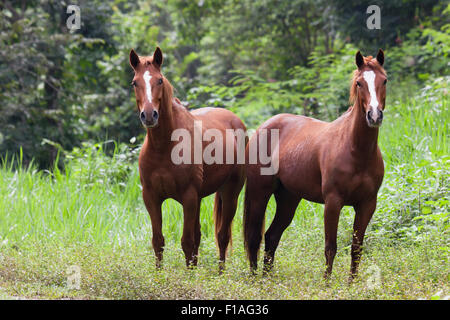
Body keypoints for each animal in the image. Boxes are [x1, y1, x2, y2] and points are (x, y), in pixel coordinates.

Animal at [130, 47, 246, 268]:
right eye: (134, 82)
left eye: (159, 80)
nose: (149, 115)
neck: (163, 147)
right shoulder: (151, 197)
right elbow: (158, 242)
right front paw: (159, 275)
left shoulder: (188, 196)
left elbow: (187, 242)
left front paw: (189, 276)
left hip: (230, 192)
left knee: (222, 236)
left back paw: (221, 273)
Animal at [243, 49, 386, 280]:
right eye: (359, 83)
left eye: (384, 80)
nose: (374, 115)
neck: (356, 150)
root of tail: (263, 127)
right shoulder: (333, 202)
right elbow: (330, 247)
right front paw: (327, 283)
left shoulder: (367, 204)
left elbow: (356, 248)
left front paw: (352, 284)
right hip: (259, 194)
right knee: (254, 238)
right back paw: (257, 279)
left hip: (288, 199)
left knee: (272, 236)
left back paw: (268, 278)